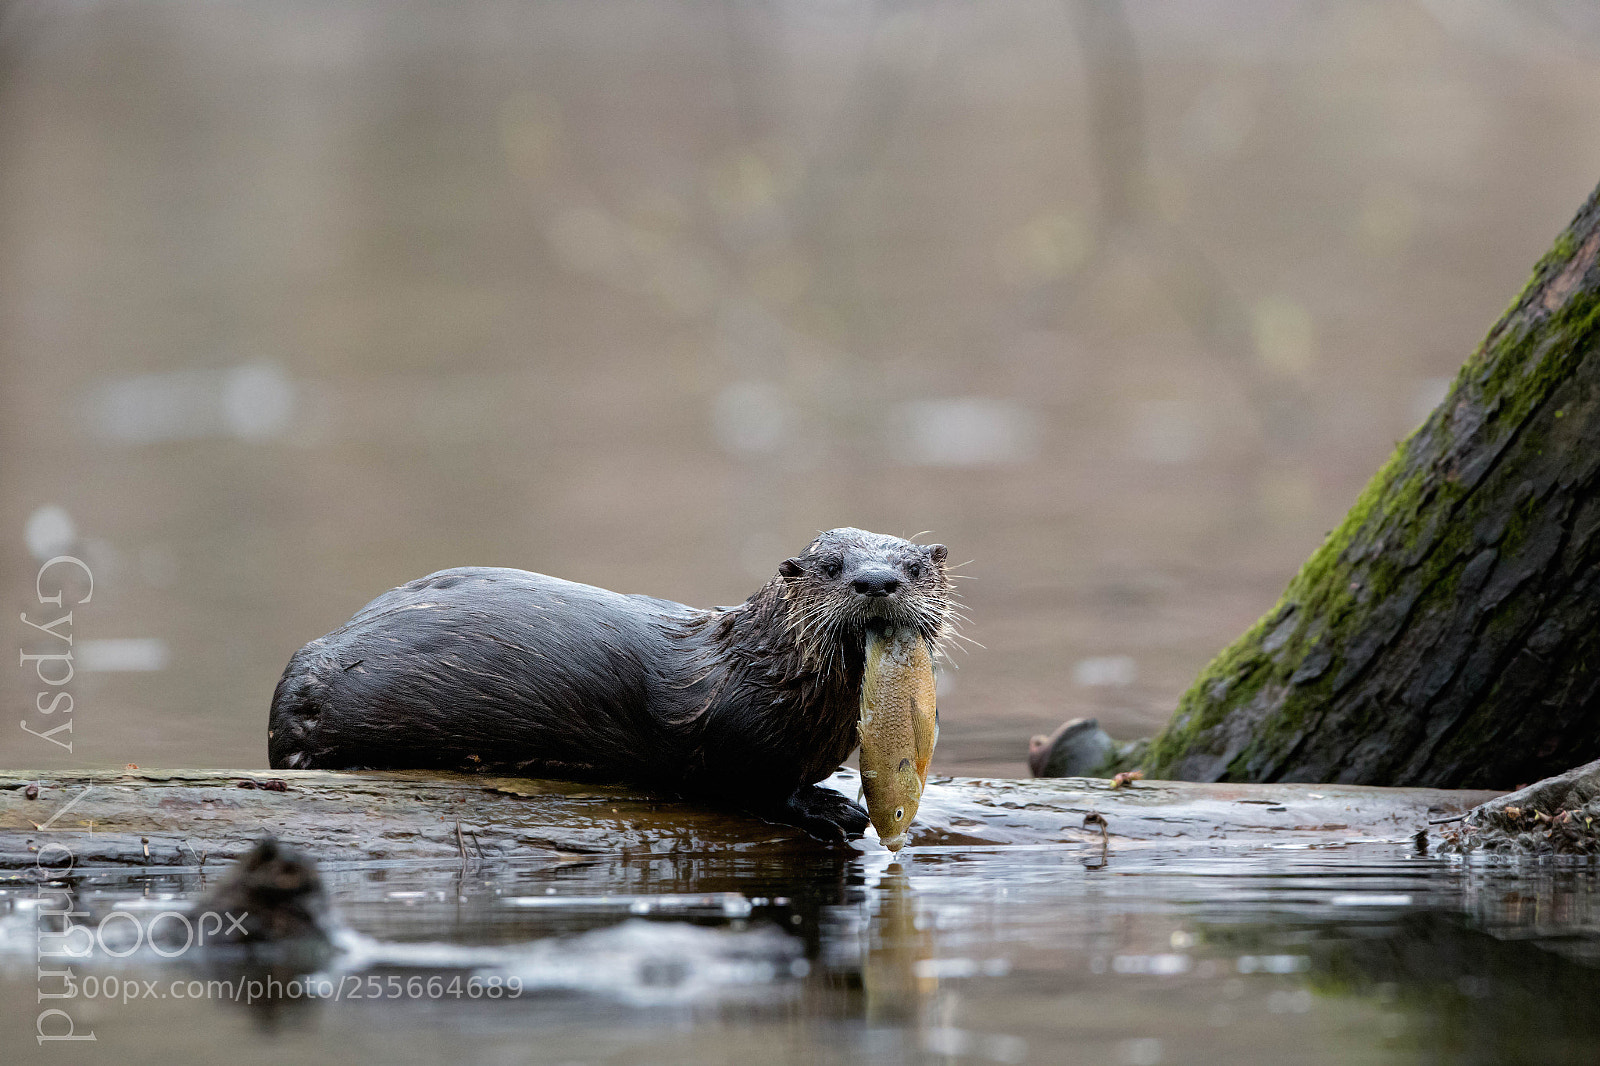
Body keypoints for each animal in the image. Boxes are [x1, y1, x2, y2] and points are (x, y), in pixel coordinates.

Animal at [268, 528, 954, 840]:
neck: (762, 670)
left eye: (914, 565)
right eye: (831, 567)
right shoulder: (734, 735)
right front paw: (828, 808)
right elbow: (752, 787)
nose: (877, 581)